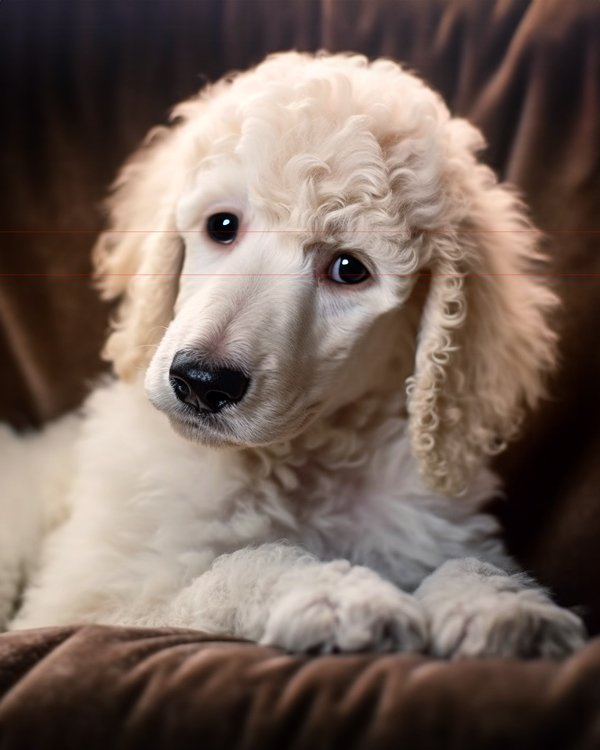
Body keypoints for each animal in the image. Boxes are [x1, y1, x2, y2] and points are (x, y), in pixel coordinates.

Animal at [0, 51, 584, 656]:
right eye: (222, 225)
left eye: (349, 268)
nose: (201, 382)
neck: (299, 463)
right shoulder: (86, 603)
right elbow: (239, 568)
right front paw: (339, 596)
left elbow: (465, 564)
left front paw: (504, 609)